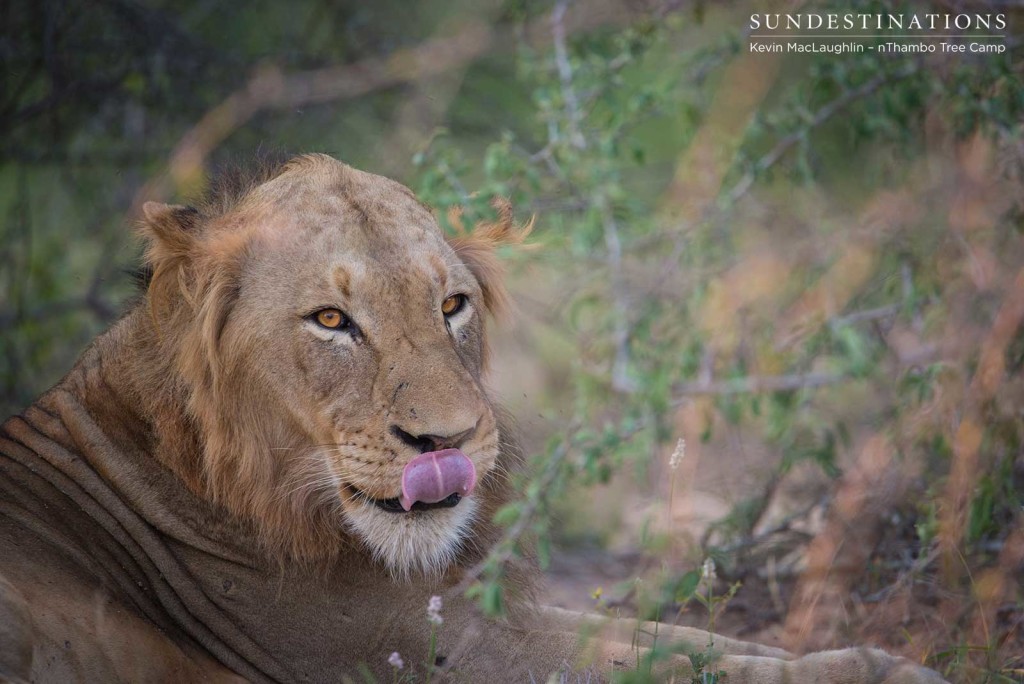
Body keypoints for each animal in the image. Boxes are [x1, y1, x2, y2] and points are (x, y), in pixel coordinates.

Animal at [0, 154, 942, 684]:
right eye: (331, 321)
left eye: (450, 305)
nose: (447, 442)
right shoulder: (420, 656)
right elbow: (681, 666)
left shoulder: (470, 615)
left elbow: (678, 638)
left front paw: (882, 660)